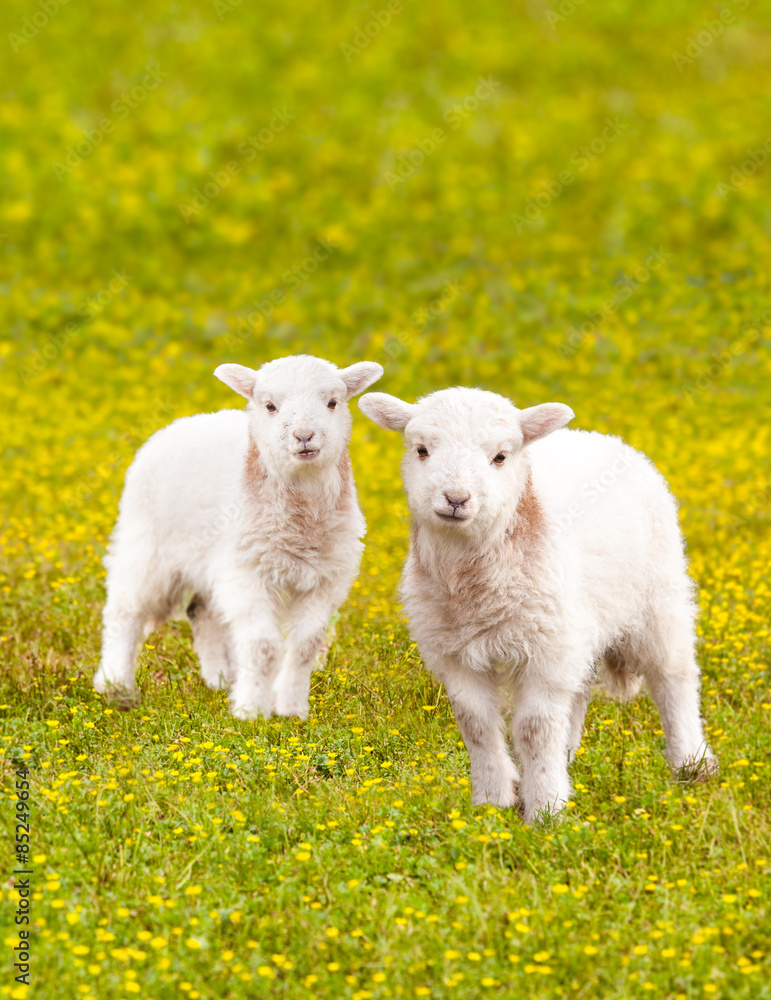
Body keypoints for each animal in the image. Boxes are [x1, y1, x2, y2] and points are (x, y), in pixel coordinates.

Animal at [93, 354, 383, 720]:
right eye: (270, 406)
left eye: (333, 402)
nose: (304, 436)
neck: (302, 524)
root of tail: (189, 421)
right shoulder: (247, 575)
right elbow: (263, 647)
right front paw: (252, 712)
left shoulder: (325, 579)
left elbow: (305, 646)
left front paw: (291, 709)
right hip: (146, 543)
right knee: (124, 611)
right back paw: (115, 684)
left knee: (201, 611)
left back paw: (220, 678)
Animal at [359, 387, 716, 822]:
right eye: (421, 450)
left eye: (500, 457)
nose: (456, 499)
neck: (473, 589)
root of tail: (596, 436)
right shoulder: (454, 653)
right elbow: (476, 724)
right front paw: (492, 801)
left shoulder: (546, 652)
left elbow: (534, 729)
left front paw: (546, 810)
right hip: (576, 622)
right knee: (579, 690)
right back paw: (568, 755)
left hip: (658, 596)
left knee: (674, 676)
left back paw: (691, 762)